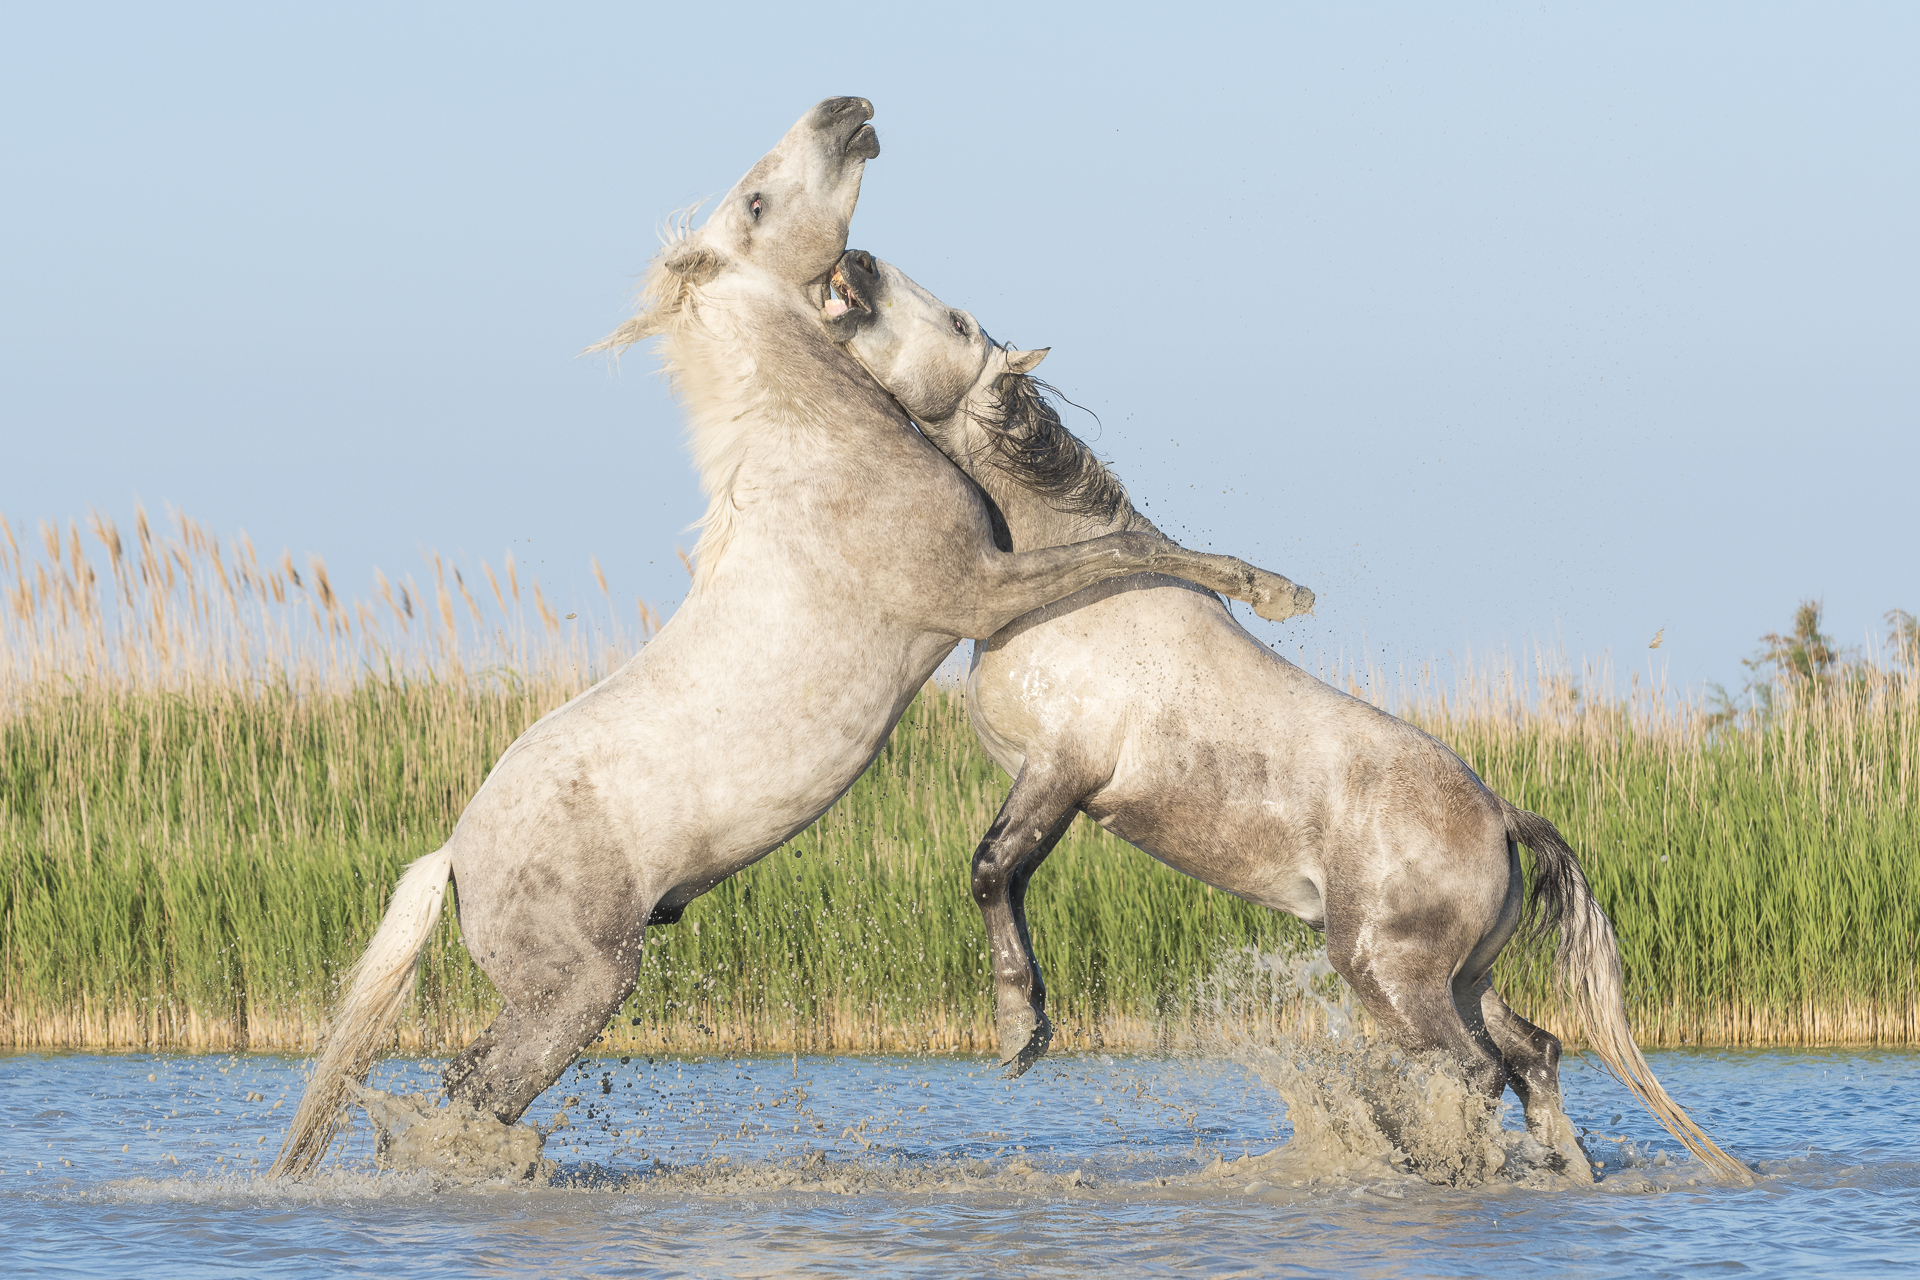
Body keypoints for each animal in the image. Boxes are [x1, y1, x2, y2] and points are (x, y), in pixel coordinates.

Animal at [274, 102, 1320, 1182]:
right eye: (757, 200)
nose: (846, 112)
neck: (823, 462)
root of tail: (453, 852)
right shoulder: (977, 592)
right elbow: (1129, 548)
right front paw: (1278, 592)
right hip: (579, 990)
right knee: (470, 1092)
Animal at [825, 249, 1758, 1189]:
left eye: (957, 324)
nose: (854, 263)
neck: (1076, 594)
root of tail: (1500, 815)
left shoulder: (1061, 770)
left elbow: (992, 871)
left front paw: (1021, 1030)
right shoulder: (1047, 780)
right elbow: (1004, 878)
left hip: (1389, 972)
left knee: (1475, 1069)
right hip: (1464, 977)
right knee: (1536, 1052)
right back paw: (1562, 1169)